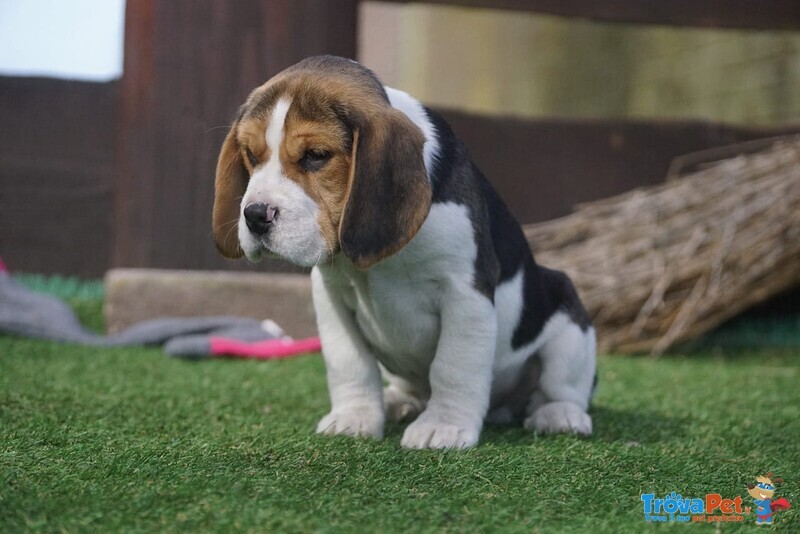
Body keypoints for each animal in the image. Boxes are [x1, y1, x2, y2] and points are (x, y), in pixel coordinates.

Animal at [212, 56, 592, 450]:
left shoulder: (465, 291)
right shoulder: (331, 297)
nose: (255, 215)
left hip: (569, 324)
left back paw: (559, 415)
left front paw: (444, 426)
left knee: (562, 388)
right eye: (251, 155)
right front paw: (354, 418)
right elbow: (350, 363)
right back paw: (398, 401)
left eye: (316, 156)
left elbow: (454, 365)